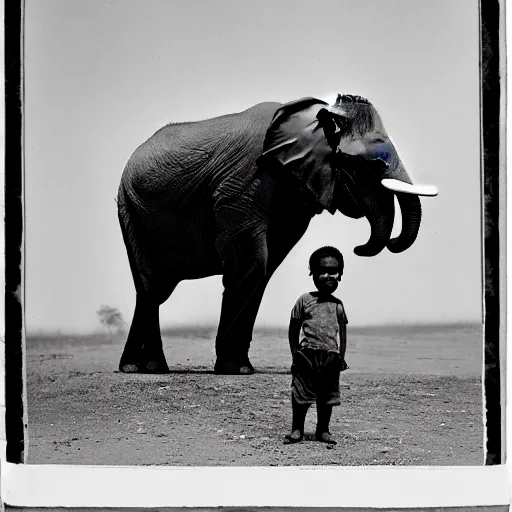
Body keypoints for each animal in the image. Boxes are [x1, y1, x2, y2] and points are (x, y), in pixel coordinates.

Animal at [117, 94, 436, 376]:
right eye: (374, 164)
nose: (359, 248)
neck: (319, 120)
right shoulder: (246, 180)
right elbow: (251, 262)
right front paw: (237, 369)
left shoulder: (296, 193)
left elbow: (267, 266)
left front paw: (238, 366)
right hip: (130, 207)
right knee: (152, 285)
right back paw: (150, 368)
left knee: (152, 289)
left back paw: (136, 367)